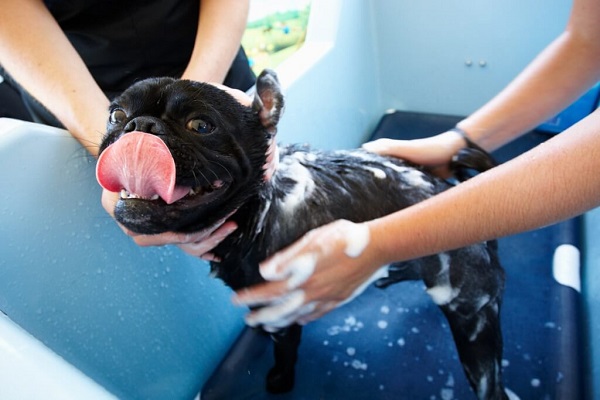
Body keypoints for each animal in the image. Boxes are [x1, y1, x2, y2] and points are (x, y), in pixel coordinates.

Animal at [96, 70, 508, 398]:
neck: (257, 208)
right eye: (116, 115)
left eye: (201, 126)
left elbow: (285, 349)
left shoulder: (283, 306)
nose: (140, 126)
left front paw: (280, 377)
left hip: (473, 325)